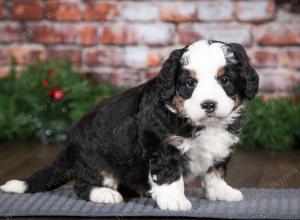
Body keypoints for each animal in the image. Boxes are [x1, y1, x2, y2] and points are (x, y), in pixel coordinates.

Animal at [0, 40, 258, 211]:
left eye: (225, 80)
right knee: (83, 185)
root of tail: (70, 140)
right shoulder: (162, 145)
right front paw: (174, 200)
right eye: (189, 83)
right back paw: (105, 194)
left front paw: (222, 192)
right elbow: (170, 174)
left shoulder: (221, 146)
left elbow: (216, 172)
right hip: (95, 163)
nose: (209, 105)